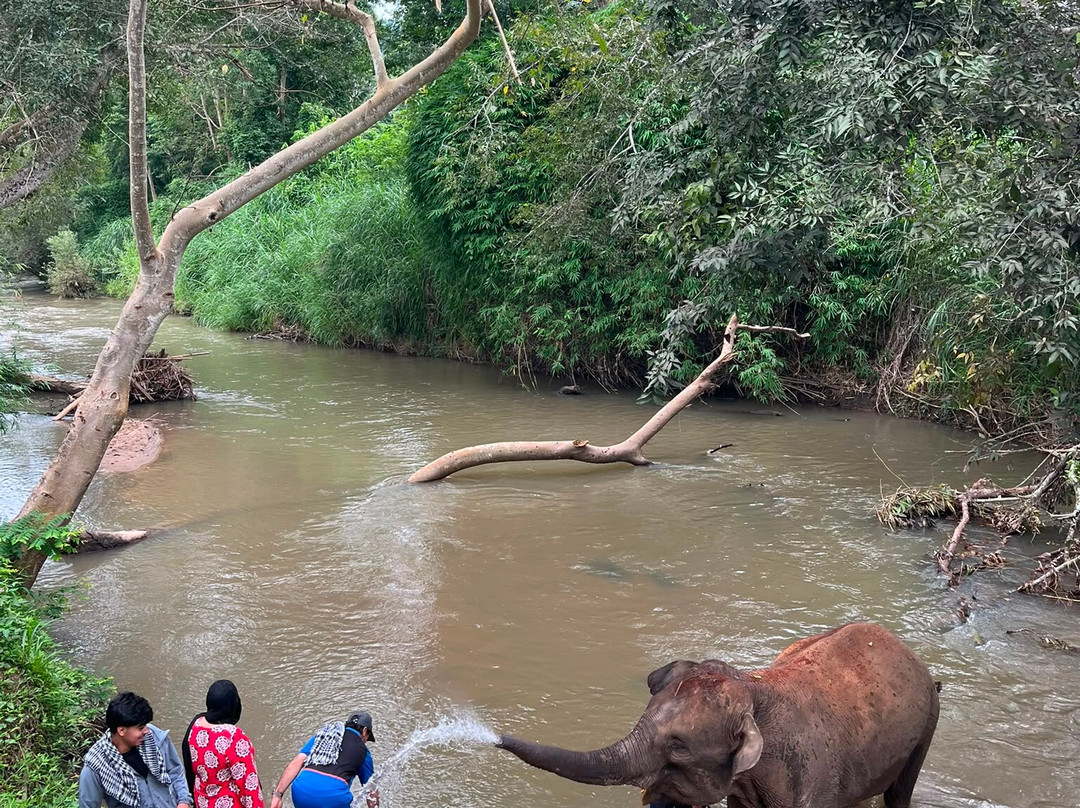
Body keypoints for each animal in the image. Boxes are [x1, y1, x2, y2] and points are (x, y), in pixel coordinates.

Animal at [497, 622, 938, 808]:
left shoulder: (812, 783)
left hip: (926, 728)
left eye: (678, 746)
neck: (754, 687)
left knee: (899, 795)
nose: (495, 737)